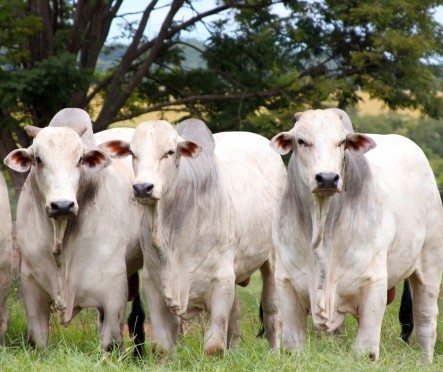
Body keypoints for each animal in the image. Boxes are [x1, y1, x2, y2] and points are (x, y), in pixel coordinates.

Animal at [3, 109, 146, 354]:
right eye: (38, 159)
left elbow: (110, 342)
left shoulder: (113, 290)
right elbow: (37, 341)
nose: (62, 205)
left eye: (80, 159)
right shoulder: (32, 288)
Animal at [99, 118, 288, 354]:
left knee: (273, 310)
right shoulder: (154, 284)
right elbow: (162, 346)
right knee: (235, 316)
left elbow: (213, 347)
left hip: (272, 259)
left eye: (169, 152)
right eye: (133, 152)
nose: (143, 188)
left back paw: (276, 352)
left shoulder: (221, 281)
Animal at [270, 109, 443, 362]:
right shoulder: (285, 283)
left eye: (341, 142)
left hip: (430, 264)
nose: (327, 178)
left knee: (425, 320)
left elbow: (365, 349)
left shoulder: (374, 283)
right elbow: (293, 345)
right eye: (301, 141)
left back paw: (425, 361)